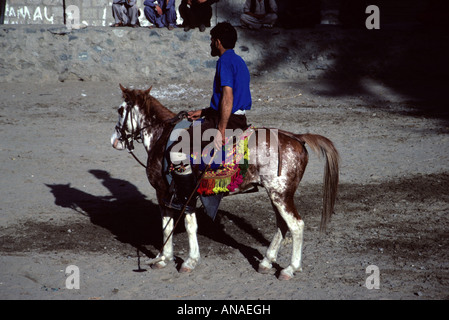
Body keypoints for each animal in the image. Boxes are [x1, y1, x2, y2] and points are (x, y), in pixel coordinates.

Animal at [109, 84, 340, 280]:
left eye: (120, 110)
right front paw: (168, 258)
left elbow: (176, 225)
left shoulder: (167, 192)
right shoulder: (178, 195)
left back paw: (290, 268)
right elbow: (176, 225)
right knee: (282, 225)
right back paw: (266, 262)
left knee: (296, 225)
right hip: (277, 194)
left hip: (281, 195)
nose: (114, 141)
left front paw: (179, 260)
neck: (162, 137)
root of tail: (296, 137)